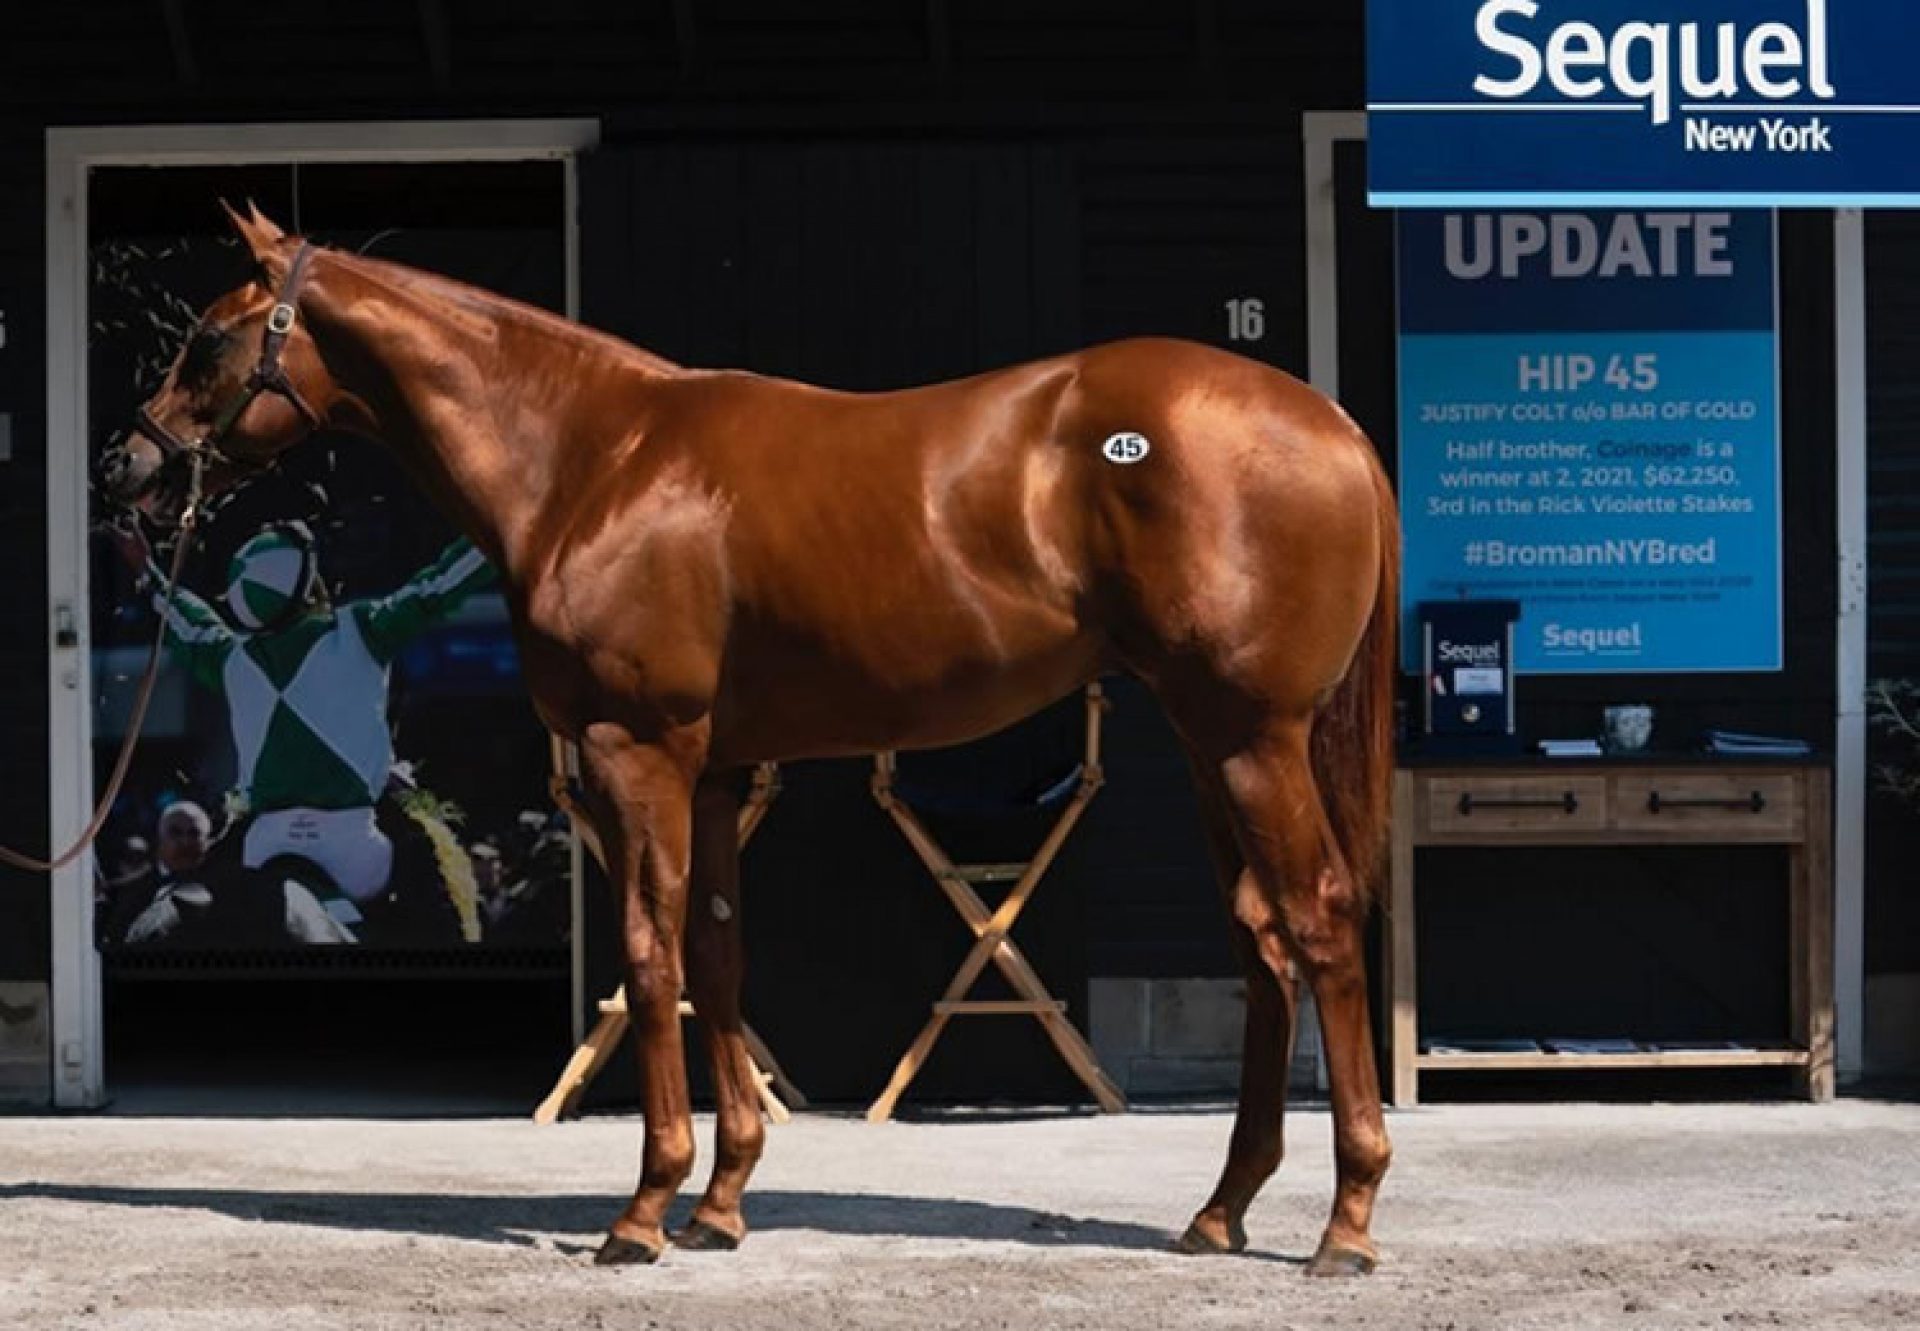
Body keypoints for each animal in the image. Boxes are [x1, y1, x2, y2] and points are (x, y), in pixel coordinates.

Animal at [101, 205, 1397, 1267]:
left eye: (210, 339)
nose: (130, 467)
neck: (593, 458)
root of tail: (1331, 424)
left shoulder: (638, 754)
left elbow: (649, 954)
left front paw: (642, 1210)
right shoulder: (718, 775)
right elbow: (716, 957)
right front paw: (719, 1203)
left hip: (1252, 736)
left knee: (1322, 920)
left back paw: (1346, 1221)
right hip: (1211, 741)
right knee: (1262, 941)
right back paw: (1221, 1210)